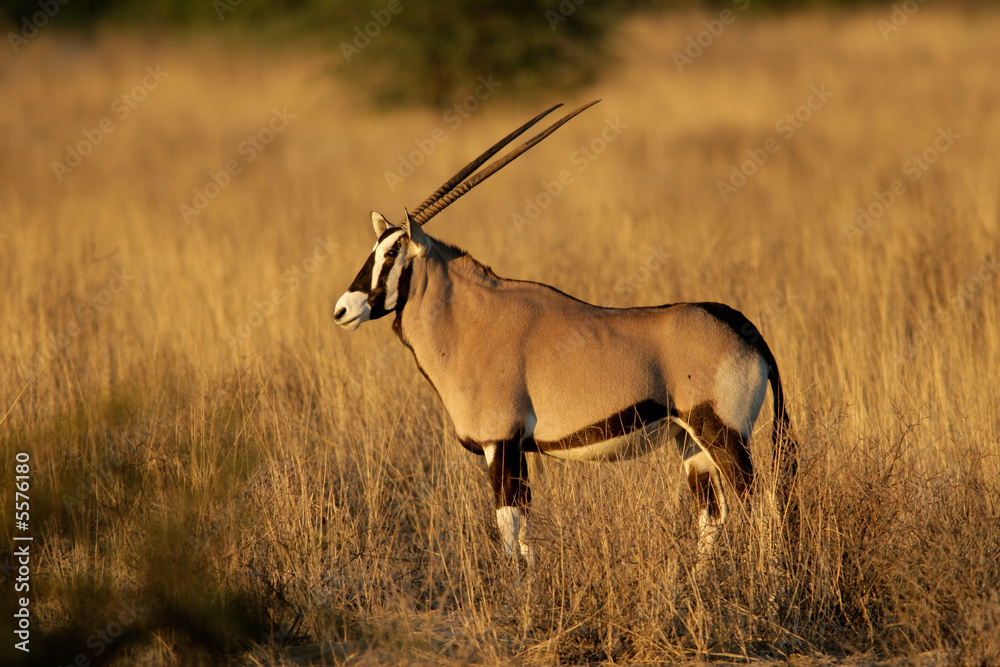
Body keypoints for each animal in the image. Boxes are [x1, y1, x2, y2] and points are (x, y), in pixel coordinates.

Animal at [334, 102, 796, 572]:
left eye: (392, 252)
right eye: (375, 249)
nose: (343, 310)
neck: (471, 322)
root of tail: (749, 333)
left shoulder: (501, 444)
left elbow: (511, 530)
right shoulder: (513, 449)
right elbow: (523, 534)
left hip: (724, 434)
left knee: (761, 506)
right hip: (690, 441)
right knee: (713, 515)